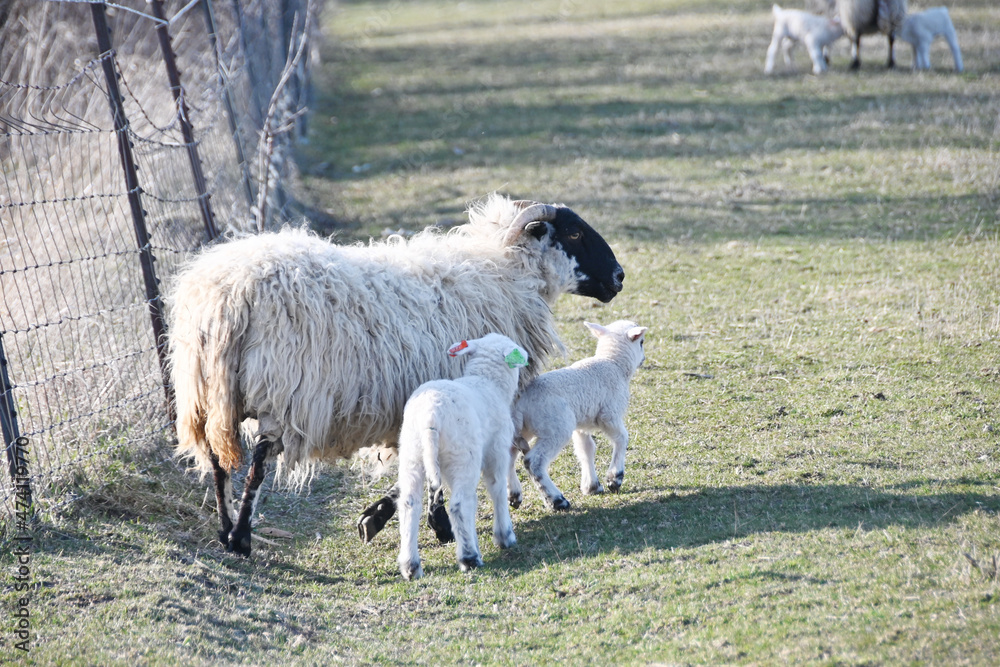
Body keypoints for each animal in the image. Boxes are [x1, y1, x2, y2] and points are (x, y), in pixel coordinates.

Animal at [397, 333, 529, 580]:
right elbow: (497, 489)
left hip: (412, 455)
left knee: (410, 504)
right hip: (462, 456)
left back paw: (411, 566)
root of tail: (431, 417)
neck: (487, 382)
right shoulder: (496, 451)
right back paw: (469, 557)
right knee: (459, 505)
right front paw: (504, 536)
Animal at [509, 320, 647, 511]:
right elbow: (622, 438)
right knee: (533, 461)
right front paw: (614, 478)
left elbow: (586, 449)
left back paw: (514, 495)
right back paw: (556, 500)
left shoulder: (582, 424)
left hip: (521, 428)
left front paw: (592, 486)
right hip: (556, 426)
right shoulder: (608, 414)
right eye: (641, 342)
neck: (613, 363)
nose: (644, 359)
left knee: (508, 455)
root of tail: (519, 402)